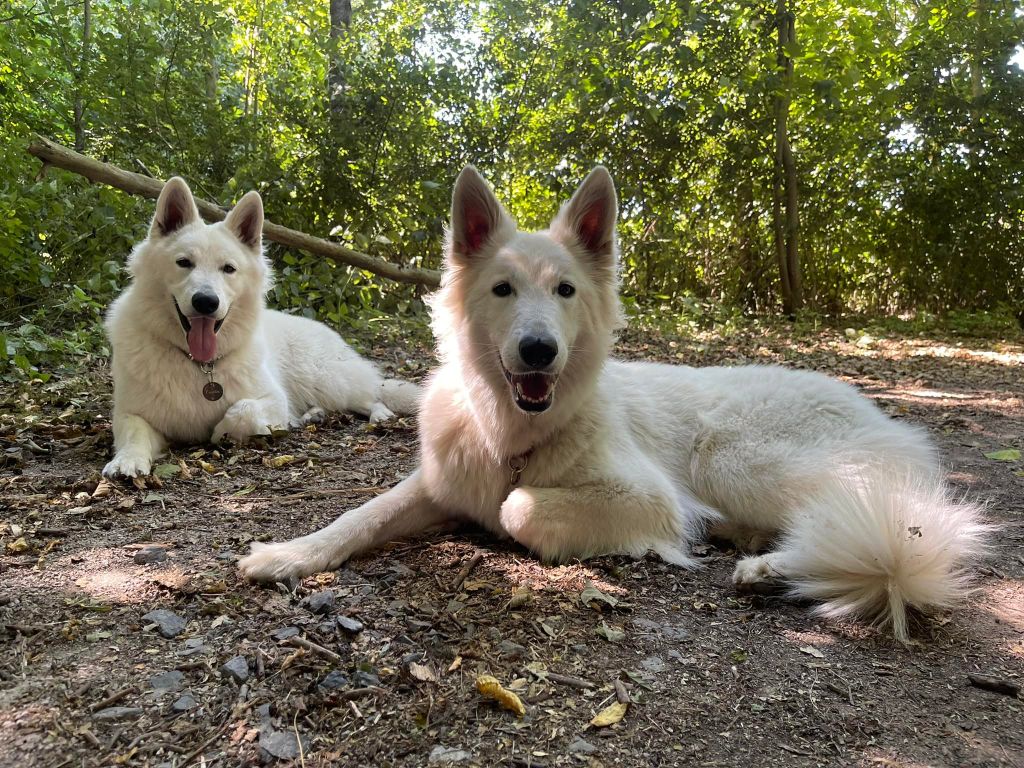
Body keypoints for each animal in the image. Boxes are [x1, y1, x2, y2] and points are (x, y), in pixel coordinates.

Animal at [101, 180, 421, 481]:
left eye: (228, 269)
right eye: (184, 262)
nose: (206, 302)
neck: (201, 364)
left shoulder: (273, 400)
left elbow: (241, 411)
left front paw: (221, 432)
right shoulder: (131, 413)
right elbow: (133, 433)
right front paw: (127, 461)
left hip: (328, 381)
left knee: (371, 394)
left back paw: (379, 413)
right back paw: (314, 415)